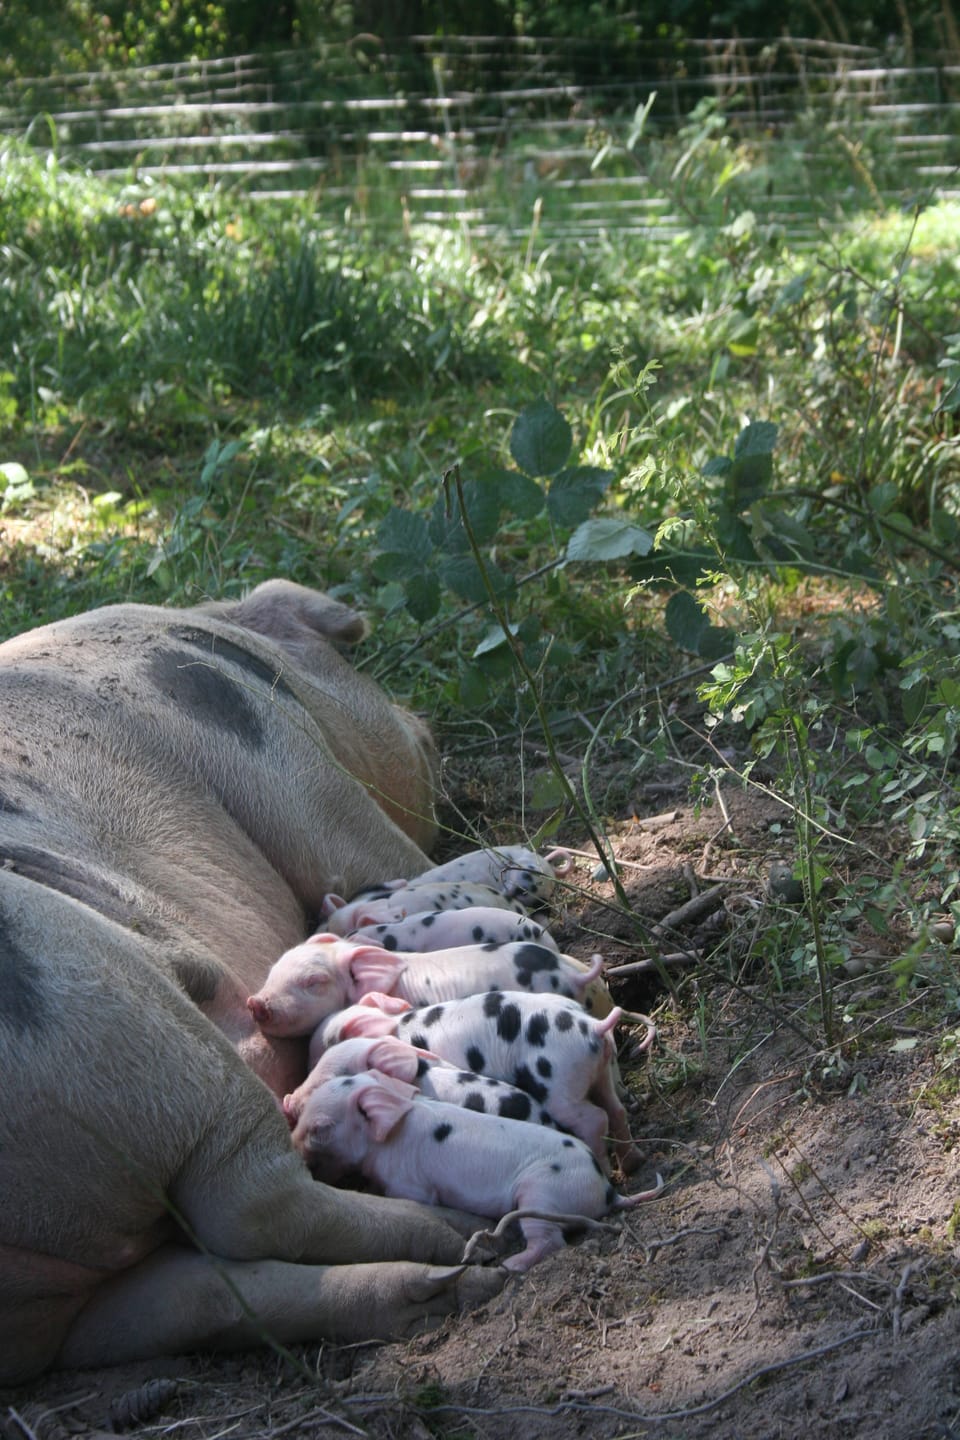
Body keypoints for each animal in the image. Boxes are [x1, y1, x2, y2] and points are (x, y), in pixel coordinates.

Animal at [1, 578, 503, 1388]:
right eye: (354, 660)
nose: (422, 722)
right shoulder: (282, 758)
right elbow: (377, 859)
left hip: (43, 1313)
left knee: (207, 1295)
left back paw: (458, 1277)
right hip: (126, 1023)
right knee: (256, 1202)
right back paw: (470, 1233)